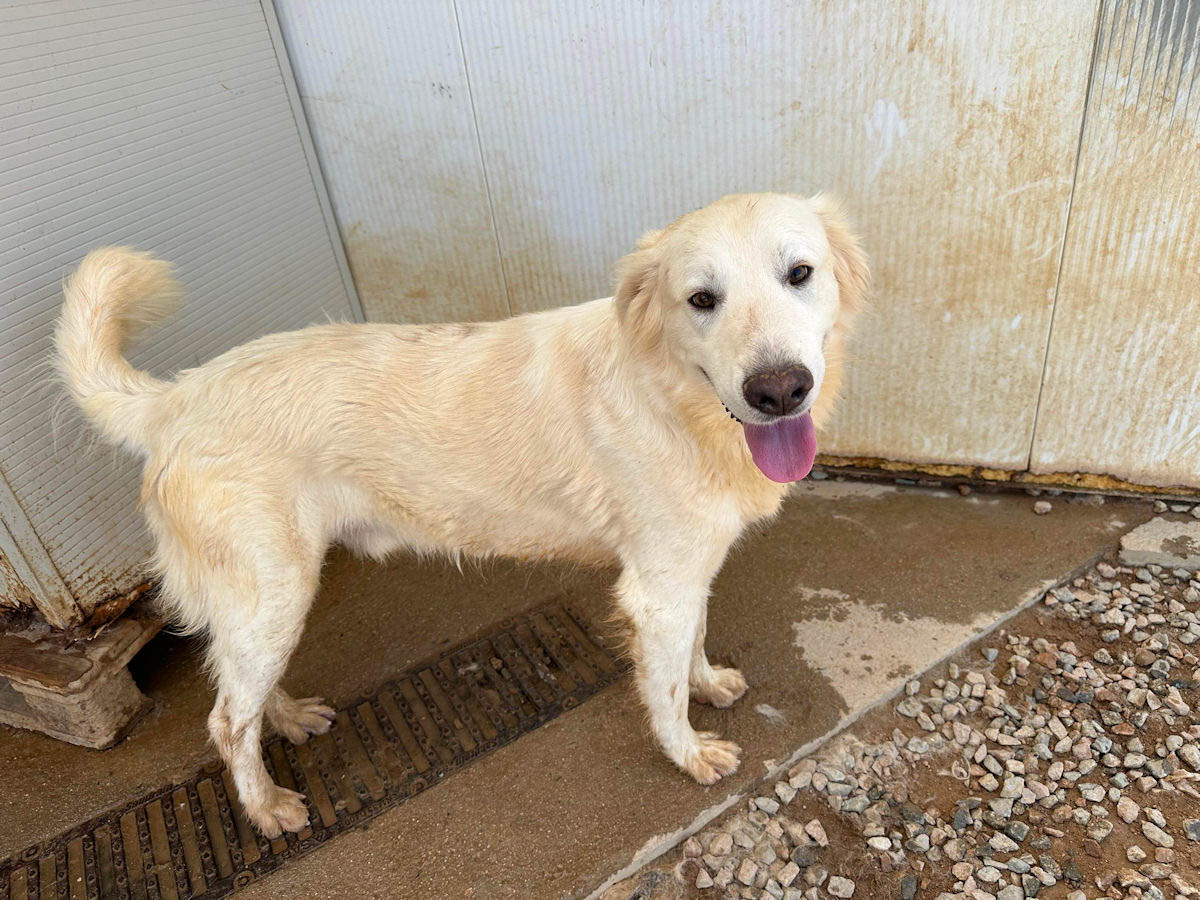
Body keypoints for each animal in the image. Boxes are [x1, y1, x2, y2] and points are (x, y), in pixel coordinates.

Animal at [54, 193, 867, 837]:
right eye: (701, 299)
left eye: (799, 273)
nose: (778, 390)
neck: (676, 397)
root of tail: (177, 398)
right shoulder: (656, 589)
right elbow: (662, 691)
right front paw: (690, 754)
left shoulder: (687, 573)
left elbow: (692, 648)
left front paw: (708, 684)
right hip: (275, 590)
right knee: (226, 720)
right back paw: (266, 808)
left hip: (265, 599)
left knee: (240, 689)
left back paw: (286, 717)